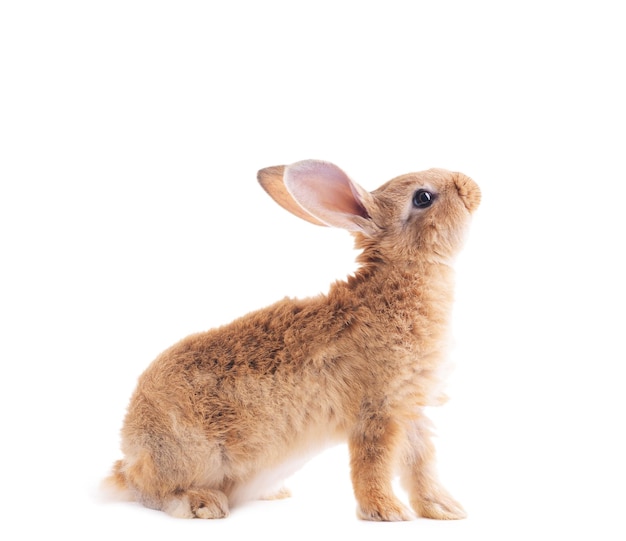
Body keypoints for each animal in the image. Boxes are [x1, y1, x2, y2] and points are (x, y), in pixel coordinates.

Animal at [105, 157, 480, 520]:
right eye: (423, 197)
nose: (471, 185)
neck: (406, 275)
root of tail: (132, 445)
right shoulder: (378, 409)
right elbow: (372, 463)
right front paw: (387, 512)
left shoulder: (410, 409)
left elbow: (421, 465)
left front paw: (445, 510)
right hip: (193, 456)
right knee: (149, 489)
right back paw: (201, 503)